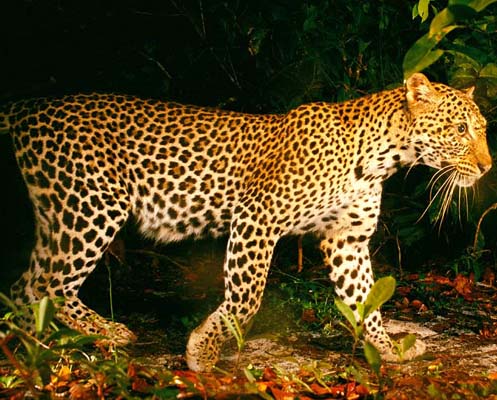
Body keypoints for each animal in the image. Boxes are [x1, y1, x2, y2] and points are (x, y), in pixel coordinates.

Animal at [0, 73, 491, 372]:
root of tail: (29, 106)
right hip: (93, 206)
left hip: (60, 212)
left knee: (25, 287)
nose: (487, 167)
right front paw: (203, 351)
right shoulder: (258, 217)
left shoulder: (347, 238)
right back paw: (98, 334)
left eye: (482, 128)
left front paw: (388, 349)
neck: (381, 158)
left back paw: (34, 346)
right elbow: (247, 298)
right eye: (461, 129)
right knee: (49, 286)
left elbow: (365, 300)